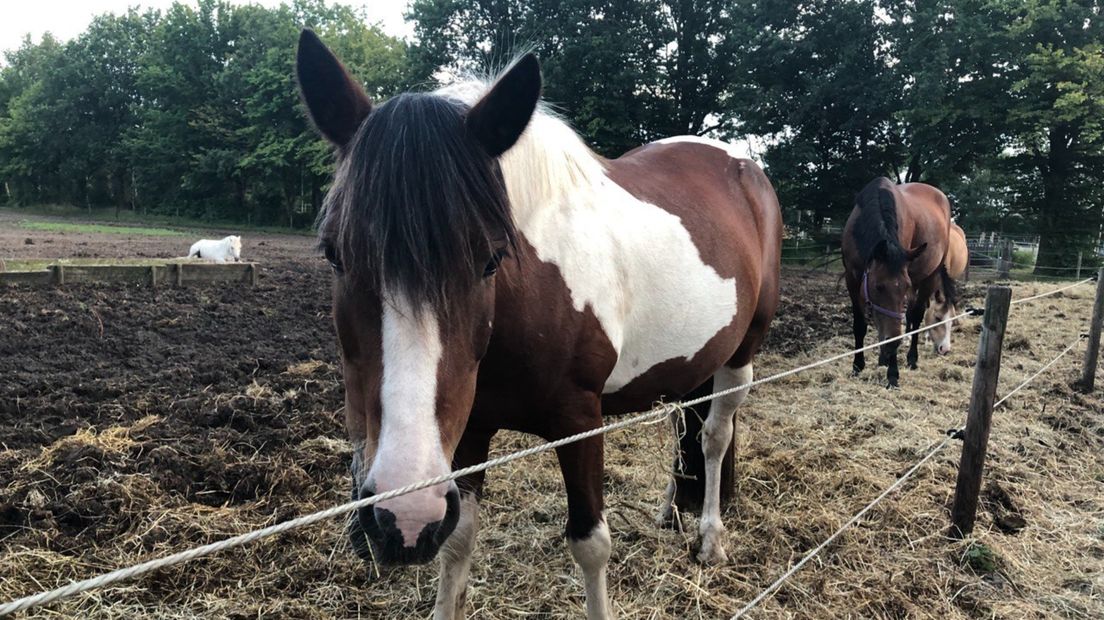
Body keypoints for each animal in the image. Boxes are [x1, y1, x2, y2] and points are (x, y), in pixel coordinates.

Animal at [293, 31, 777, 617]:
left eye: (490, 259)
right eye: (334, 255)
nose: (404, 518)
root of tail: (742, 165)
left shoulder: (581, 418)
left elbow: (591, 543)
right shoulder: (469, 430)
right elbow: (458, 541)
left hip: (741, 354)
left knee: (713, 436)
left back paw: (708, 537)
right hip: (690, 359)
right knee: (683, 422)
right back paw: (671, 512)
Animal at [843, 176, 949, 383]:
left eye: (903, 287)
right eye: (878, 287)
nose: (893, 344)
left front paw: (893, 375)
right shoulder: (852, 280)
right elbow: (859, 325)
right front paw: (857, 366)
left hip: (929, 277)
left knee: (916, 315)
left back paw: (912, 358)